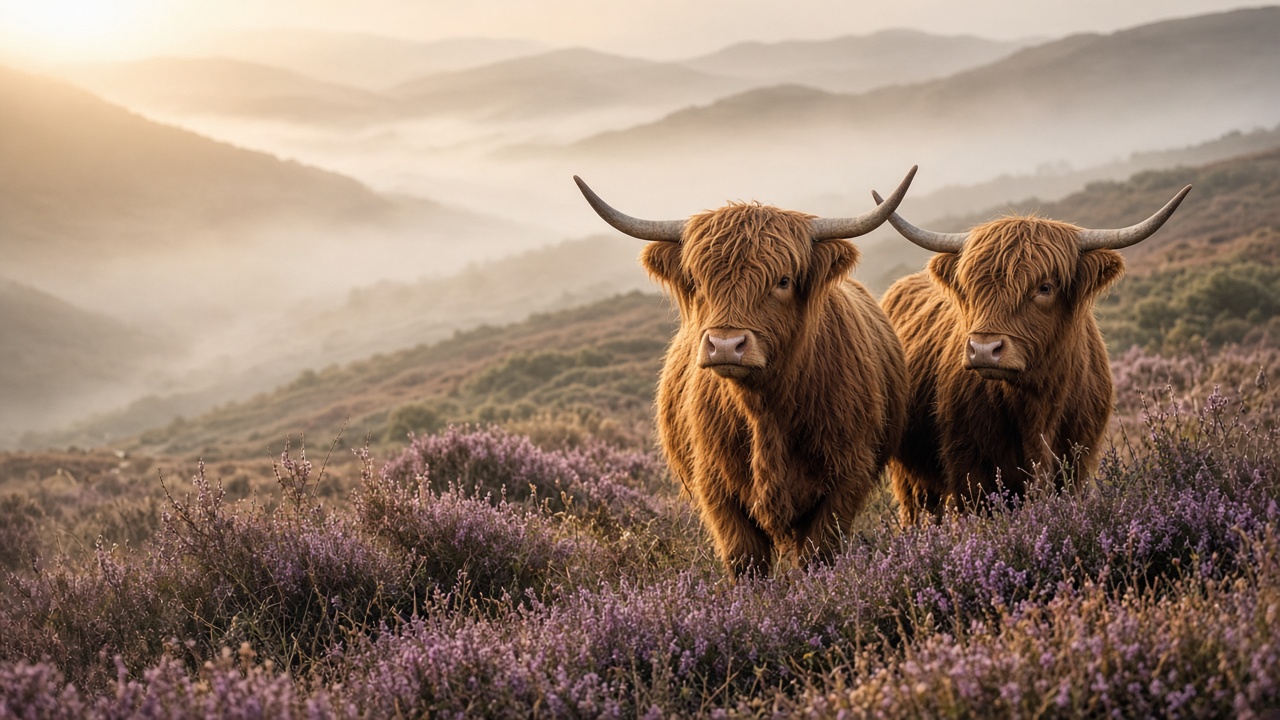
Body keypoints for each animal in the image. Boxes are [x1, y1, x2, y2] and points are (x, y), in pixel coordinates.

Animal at [574, 169, 916, 577]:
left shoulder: (847, 475)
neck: (764, 410)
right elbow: (745, 558)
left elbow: (819, 553)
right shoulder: (714, 484)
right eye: (697, 281)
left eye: (783, 280)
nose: (725, 345)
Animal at [871, 183, 1192, 523]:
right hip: (910, 476)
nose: (983, 349)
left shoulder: (1074, 466)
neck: (1037, 406)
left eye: (1045, 287)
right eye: (969, 287)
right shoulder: (968, 474)